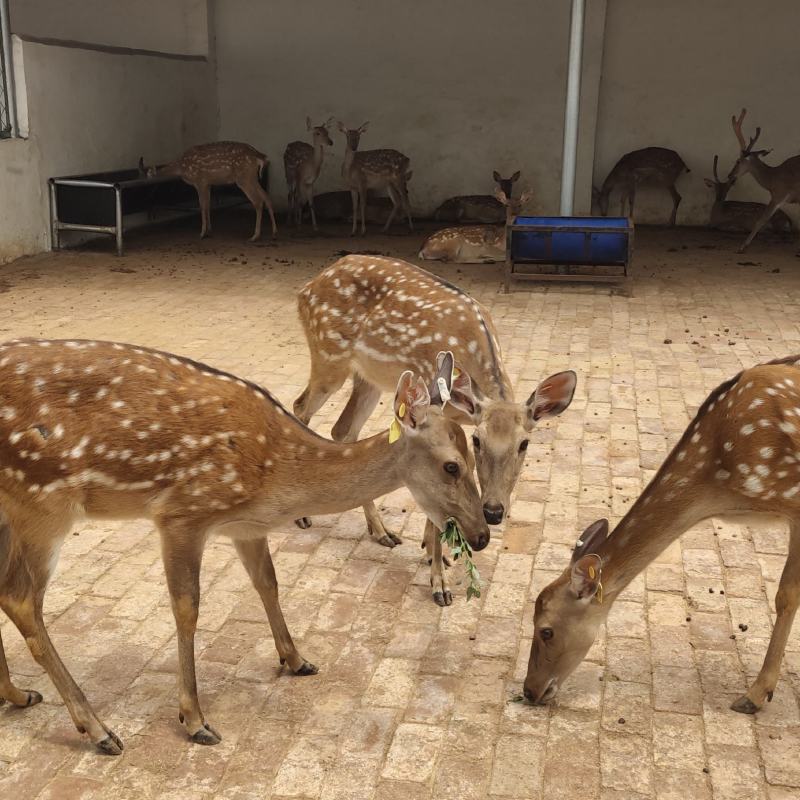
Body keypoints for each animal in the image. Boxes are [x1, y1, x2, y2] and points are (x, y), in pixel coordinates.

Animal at [0, 338, 488, 754]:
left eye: (474, 449)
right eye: (452, 465)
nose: (483, 532)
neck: (276, 476)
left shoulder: (245, 527)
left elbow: (267, 584)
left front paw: (296, 659)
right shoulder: (183, 513)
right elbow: (187, 609)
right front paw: (195, 719)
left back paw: (20, 694)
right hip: (44, 502)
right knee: (21, 598)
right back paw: (98, 729)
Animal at [139, 141, 277, 241]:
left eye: (145, 175)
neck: (182, 167)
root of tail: (260, 157)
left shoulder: (200, 181)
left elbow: (202, 206)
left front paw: (202, 233)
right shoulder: (208, 184)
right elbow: (208, 205)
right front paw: (209, 231)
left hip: (244, 177)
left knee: (258, 201)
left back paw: (255, 236)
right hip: (252, 177)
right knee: (267, 197)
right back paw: (274, 232)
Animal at [294, 256, 576, 604]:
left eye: (524, 444)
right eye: (478, 441)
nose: (494, 511)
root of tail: (307, 288)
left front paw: (431, 551)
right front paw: (439, 583)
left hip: (370, 376)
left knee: (342, 429)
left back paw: (381, 531)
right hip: (329, 357)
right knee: (301, 407)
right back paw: (304, 516)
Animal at [729, 109, 800, 253]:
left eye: (737, 161)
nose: (729, 175)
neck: (771, 180)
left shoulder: (779, 195)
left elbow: (761, 220)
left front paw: (742, 247)